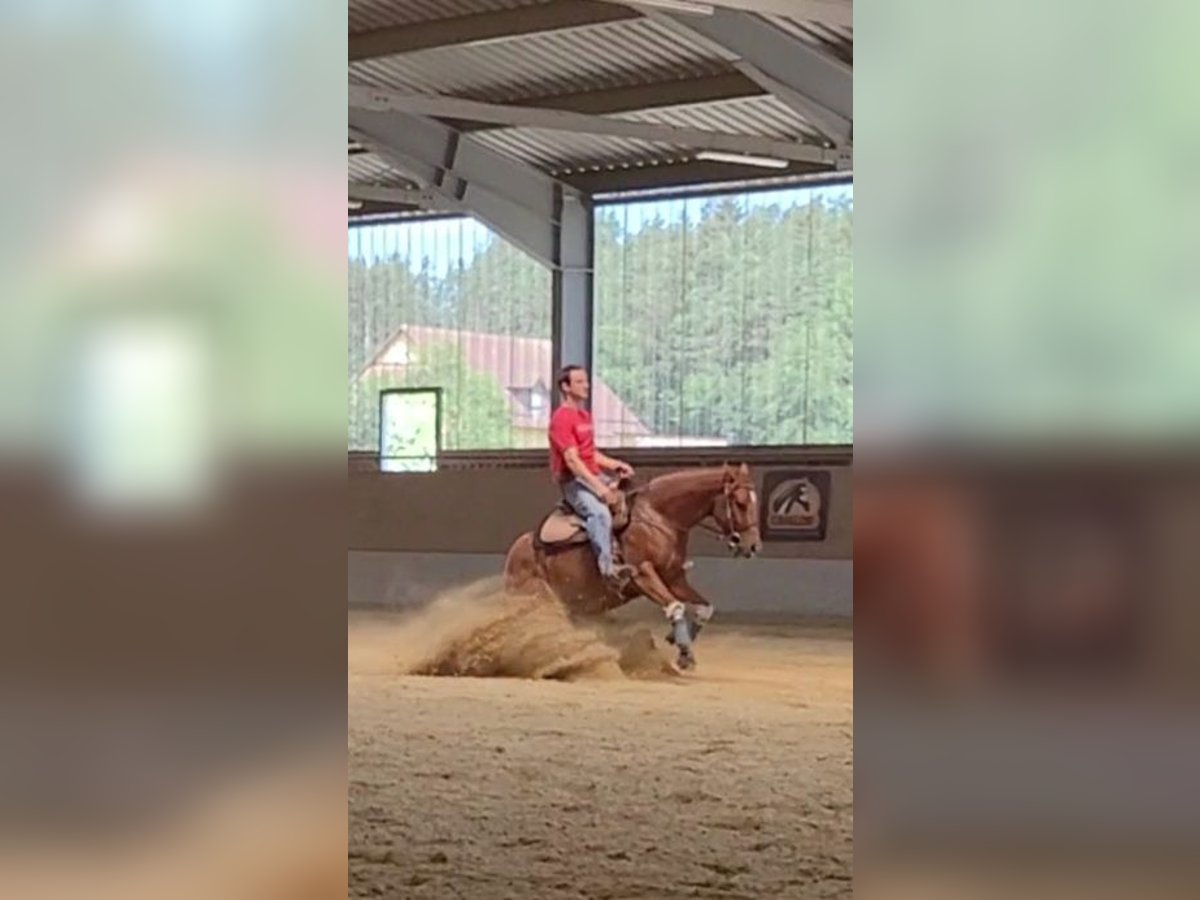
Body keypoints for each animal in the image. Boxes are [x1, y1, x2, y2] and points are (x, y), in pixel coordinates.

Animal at [501, 465, 763, 672]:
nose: (753, 545)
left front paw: (679, 640)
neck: (658, 518)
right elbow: (675, 606)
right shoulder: (643, 576)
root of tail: (515, 553)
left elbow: (704, 608)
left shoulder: (674, 578)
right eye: (740, 503)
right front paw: (685, 653)